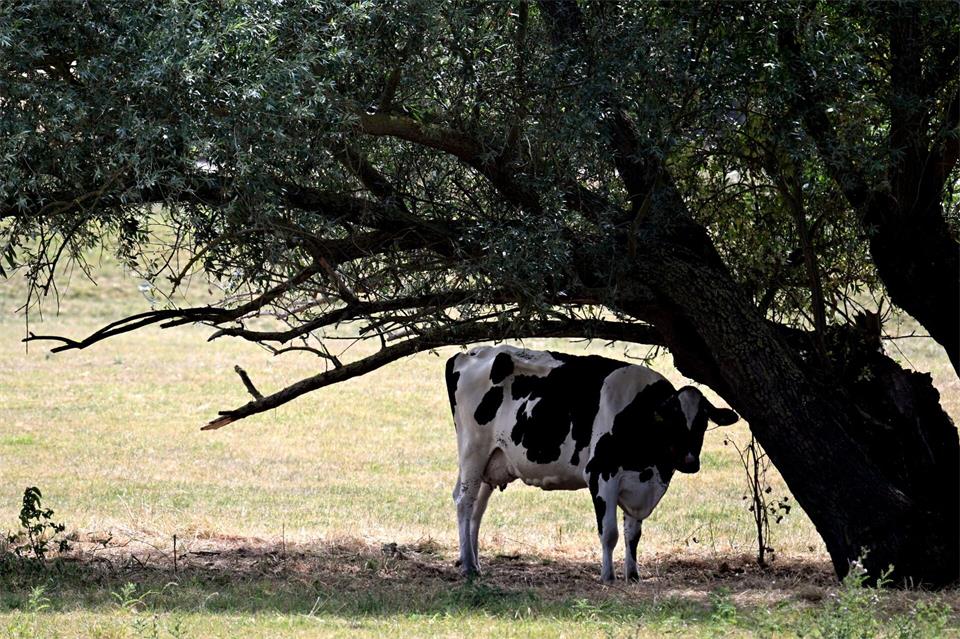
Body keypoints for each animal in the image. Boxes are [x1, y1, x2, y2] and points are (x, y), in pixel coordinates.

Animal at [446, 344, 739, 582]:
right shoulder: (601, 475)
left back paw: (475, 562)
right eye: (672, 420)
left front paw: (633, 575)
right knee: (464, 502)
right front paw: (608, 576)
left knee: (477, 509)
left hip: (492, 462)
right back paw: (468, 566)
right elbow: (609, 533)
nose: (690, 462)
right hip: (473, 452)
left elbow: (633, 534)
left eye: (703, 422)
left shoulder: (640, 486)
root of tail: (470, 354)